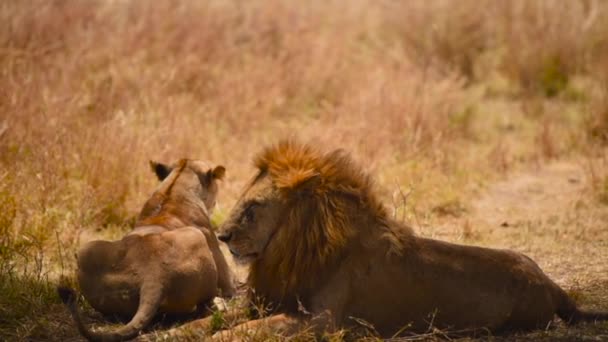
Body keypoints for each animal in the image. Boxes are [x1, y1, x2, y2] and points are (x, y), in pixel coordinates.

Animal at [58, 159, 235, 342]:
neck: (174, 187)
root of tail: (152, 276)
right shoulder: (215, 249)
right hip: (196, 235)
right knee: (205, 305)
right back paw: (219, 304)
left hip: (86, 251)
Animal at [203, 140, 604, 338]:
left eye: (253, 207)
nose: (221, 236)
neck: (290, 250)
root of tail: (551, 284)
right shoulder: (271, 302)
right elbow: (218, 320)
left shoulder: (324, 322)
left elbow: (249, 330)